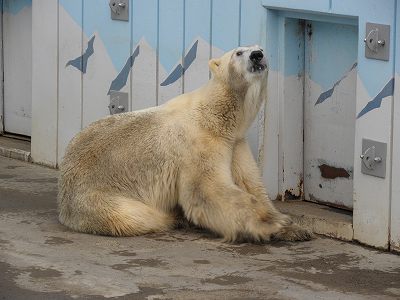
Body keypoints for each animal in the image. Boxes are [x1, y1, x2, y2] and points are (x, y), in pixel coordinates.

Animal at [57, 44, 312, 241]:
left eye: (261, 48)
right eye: (239, 52)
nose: (257, 55)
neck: (216, 116)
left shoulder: (236, 143)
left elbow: (251, 184)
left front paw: (294, 228)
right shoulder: (200, 145)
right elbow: (207, 190)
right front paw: (271, 226)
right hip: (95, 196)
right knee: (133, 216)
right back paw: (173, 218)